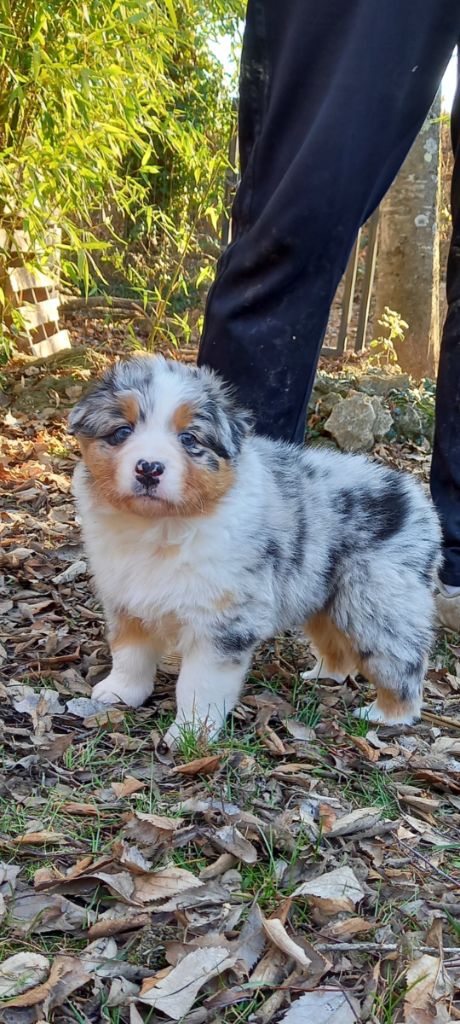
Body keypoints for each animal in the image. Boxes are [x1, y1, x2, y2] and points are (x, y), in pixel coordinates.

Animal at [69, 356, 440, 749]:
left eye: (189, 439)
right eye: (121, 432)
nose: (149, 468)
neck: (160, 527)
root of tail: (416, 500)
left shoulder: (223, 623)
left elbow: (198, 684)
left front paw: (190, 733)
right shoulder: (125, 598)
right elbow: (130, 652)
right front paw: (120, 693)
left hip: (378, 604)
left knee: (401, 661)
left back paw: (388, 714)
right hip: (324, 594)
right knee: (336, 645)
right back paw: (324, 675)